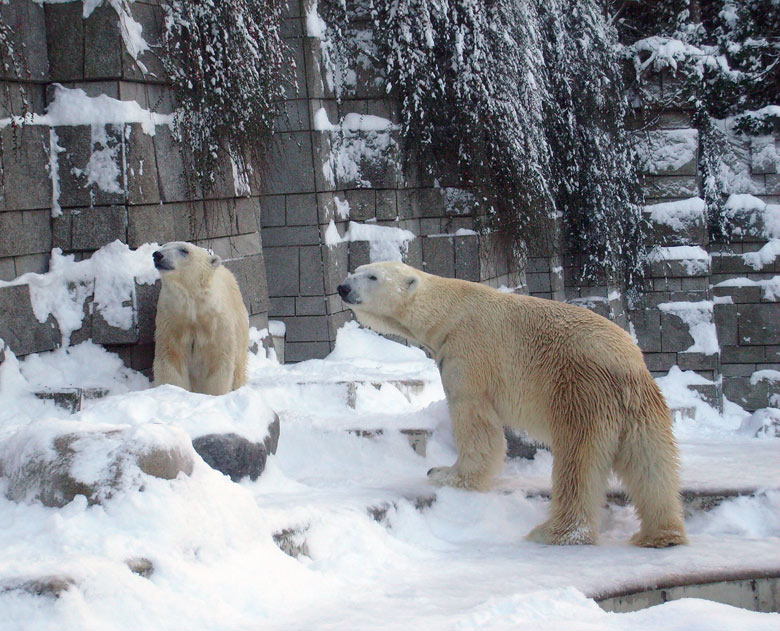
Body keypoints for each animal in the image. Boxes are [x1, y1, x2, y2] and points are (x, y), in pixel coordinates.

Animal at [152, 242, 250, 396]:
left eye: (184, 250)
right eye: (164, 246)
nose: (157, 255)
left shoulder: (216, 324)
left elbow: (218, 361)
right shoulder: (173, 320)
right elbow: (171, 359)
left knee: (239, 365)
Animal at [338, 262, 684, 548]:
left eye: (372, 276)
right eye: (356, 269)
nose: (343, 287)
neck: (449, 311)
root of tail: (627, 368)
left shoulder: (467, 352)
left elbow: (474, 419)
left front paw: (445, 473)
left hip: (582, 393)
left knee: (578, 463)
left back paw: (554, 533)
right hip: (643, 407)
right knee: (652, 465)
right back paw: (662, 534)